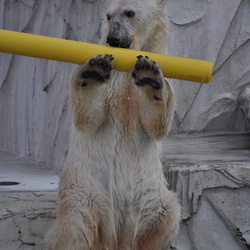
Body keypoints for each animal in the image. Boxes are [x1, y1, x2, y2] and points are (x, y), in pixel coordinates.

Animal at [46, 0, 181, 250]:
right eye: (108, 16)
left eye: (130, 12)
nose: (113, 38)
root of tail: (116, 234)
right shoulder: (113, 81)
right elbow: (88, 118)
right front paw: (93, 71)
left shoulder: (164, 67)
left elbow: (156, 124)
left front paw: (150, 77)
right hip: (86, 191)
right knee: (76, 226)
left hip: (151, 198)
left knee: (166, 217)